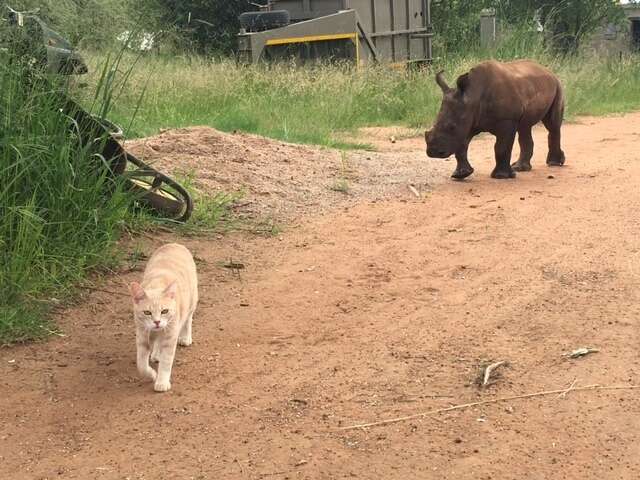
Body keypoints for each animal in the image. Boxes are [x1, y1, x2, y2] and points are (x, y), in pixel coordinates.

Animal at [129, 242, 199, 392]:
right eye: (147, 313)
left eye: (165, 311)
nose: (157, 322)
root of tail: (175, 243)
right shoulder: (142, 335)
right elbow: (141, 364)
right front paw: (151, 374)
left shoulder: (170, 335)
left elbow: (166, 362)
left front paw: (161, 382)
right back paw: (156, 354)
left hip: (192, 300)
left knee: (188, 319)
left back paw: (185, 337)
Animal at [424, 60, 564, 180]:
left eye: (451, 127)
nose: (433, 152)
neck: (473, 95)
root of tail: (548, 70)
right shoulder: (468, 121)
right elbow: (461, 146)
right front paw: (460, 175)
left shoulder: (507, 120)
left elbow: (501, 148)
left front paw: (501, 176)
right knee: (525, 126)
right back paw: (520, 168)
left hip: (557, 86)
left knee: (552, 125)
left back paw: (554, 164)